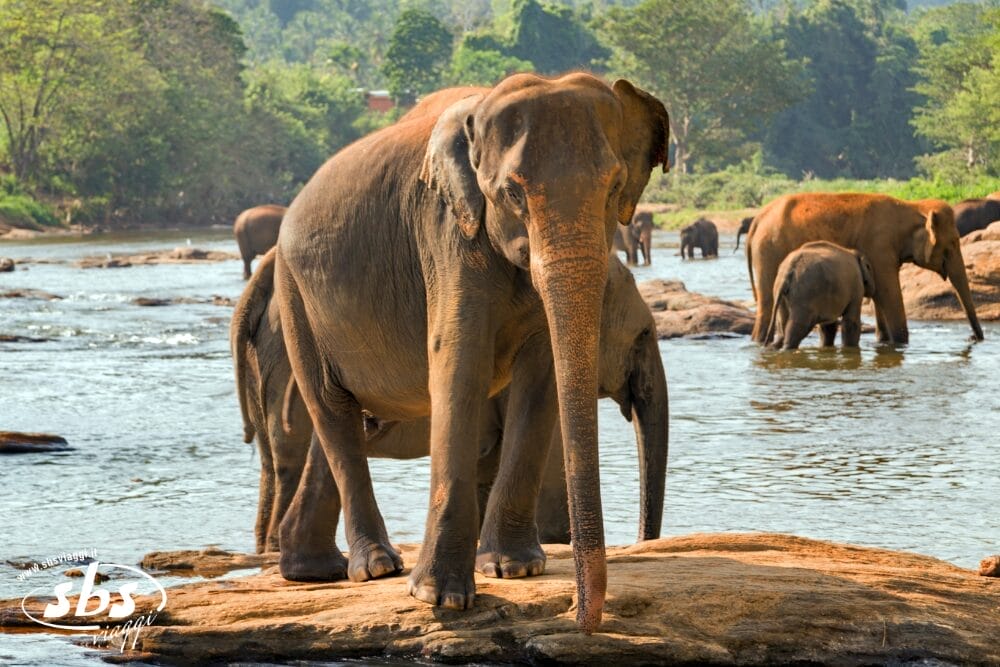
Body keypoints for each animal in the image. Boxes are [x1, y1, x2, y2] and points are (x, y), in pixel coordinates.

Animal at [270, 73, 669, 632]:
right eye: (511, 193)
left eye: (614, 188)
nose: (583, 619)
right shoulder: (444, 232)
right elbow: (459, 360)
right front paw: (441, 598)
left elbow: (540, 377)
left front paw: (515, 568)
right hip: (295, 295)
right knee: (330, 408)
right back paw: (375, 568)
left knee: (342, 422)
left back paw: (314, 571)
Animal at [747, 193, 983, 346]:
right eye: (952, 244)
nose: (972, 338)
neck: (912, 206)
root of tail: (758, 219)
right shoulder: (879, 247)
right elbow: (889, 293)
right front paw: (900, 343)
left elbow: (880, 295)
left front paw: (884, 342)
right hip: (769, 251)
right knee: (766, 305)